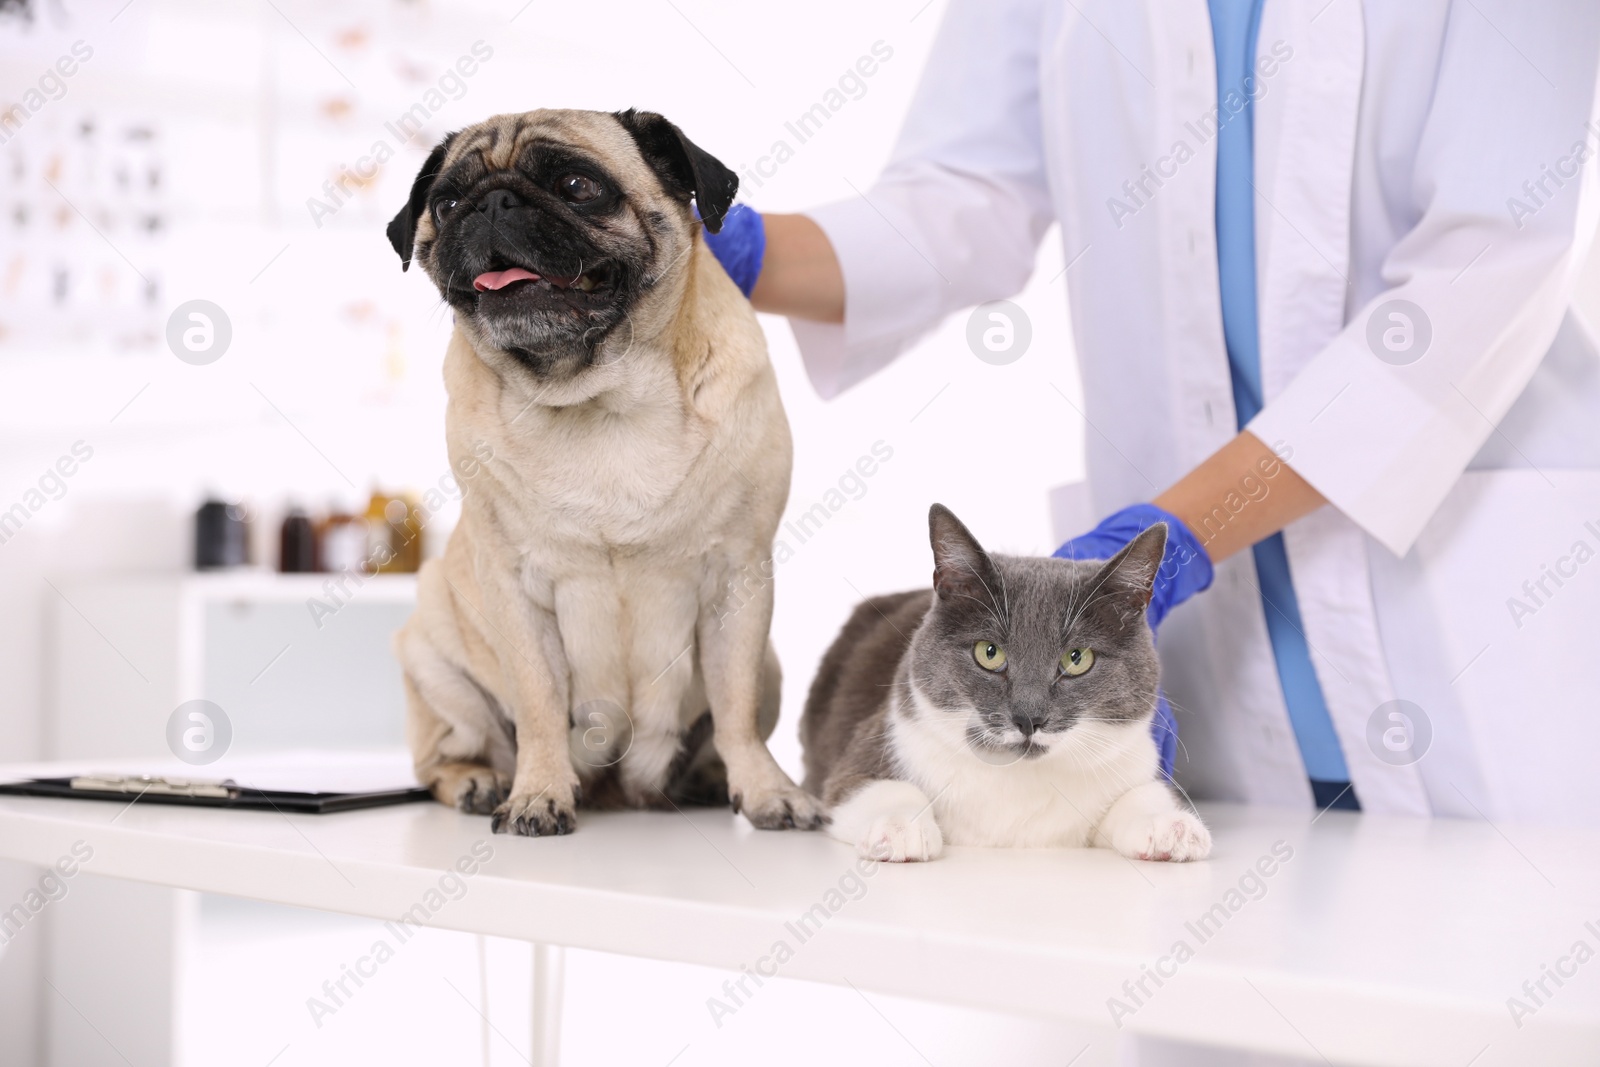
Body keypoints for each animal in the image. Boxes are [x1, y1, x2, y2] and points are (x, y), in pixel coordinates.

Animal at [380, 112, 819, 838]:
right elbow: (537, 702)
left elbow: (735, 705)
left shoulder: (740, 576)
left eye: (578, 186)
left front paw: (766, 791)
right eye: (445, 204)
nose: (492, 203)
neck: (601, 396)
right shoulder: (513, 589)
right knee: (444, 755)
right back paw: (478, 780)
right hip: (429, 653)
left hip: (774, 667)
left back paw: (707, 778)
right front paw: (537, 793)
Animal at [800, 505, 1209, 863]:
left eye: (1077, 658)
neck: (1018, 779)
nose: (1029, 718)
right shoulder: (880, 743)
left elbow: (1141, 794)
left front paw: (1172, 827)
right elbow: (870, 785)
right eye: (989, 653)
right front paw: (900, 828)